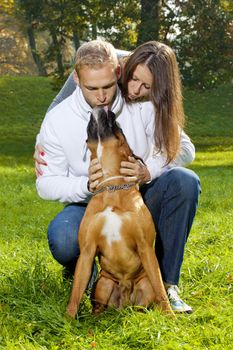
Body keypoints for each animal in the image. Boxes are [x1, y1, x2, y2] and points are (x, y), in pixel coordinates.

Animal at [66, 108, 174, 318]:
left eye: (118, 126)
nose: (104, 108)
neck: (111, 187)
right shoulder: (87, 252)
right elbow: (75, 293)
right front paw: (67, 320)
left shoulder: (145, 247)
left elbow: (160, 289)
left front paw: (170, 316)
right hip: (103, 284)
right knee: (98, 306)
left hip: (144, 285)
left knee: (149, 298)